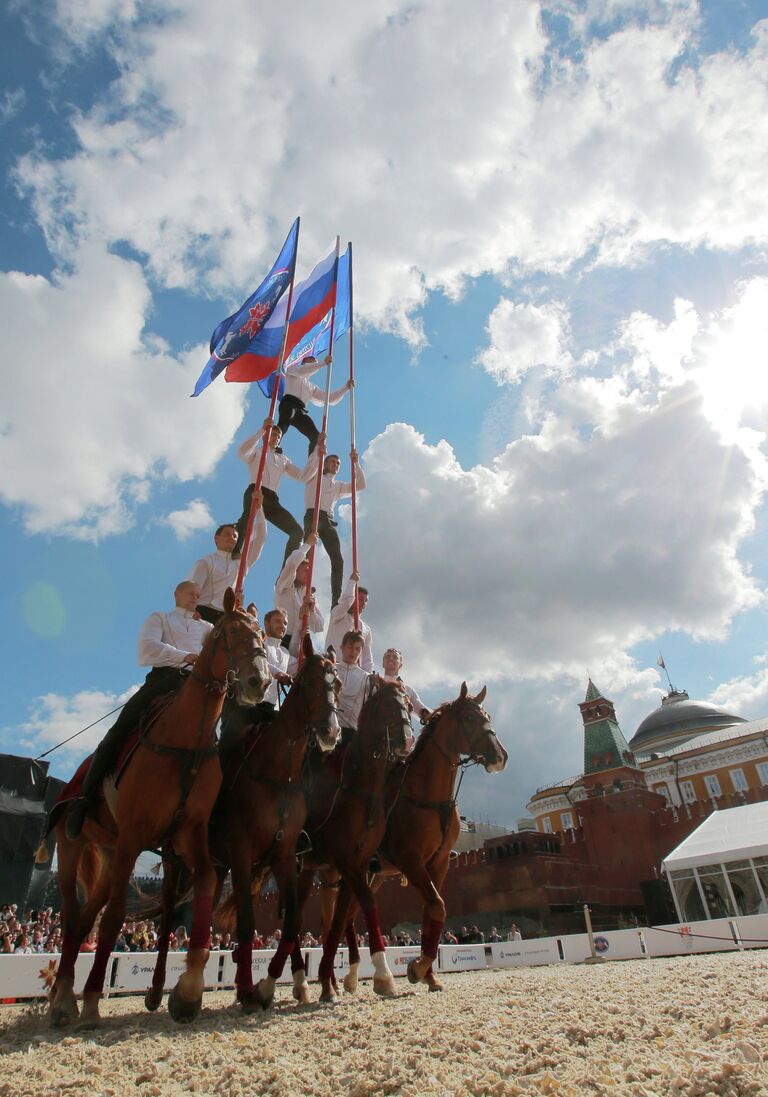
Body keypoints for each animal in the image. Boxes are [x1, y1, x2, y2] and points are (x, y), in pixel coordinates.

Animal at [48, 592, 269, 1026]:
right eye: (232, 631)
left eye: (261, 634)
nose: (259, 681)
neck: (186, 742)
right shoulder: (135, 834)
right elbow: (116, 917)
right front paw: (94, 1000)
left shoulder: (190, 833)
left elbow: (203, 886)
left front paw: (189, 991)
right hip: (72, 848)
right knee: (72, 913)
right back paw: (65, 999)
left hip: (110, 854)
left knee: (84, 920)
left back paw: (64, 995)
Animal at [148, 636, 342, 1009]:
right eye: (309, 682)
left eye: (337, 684)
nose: (330, 733)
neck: (278, 773)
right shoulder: (241, 851)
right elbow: (248, 922)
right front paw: (254, 989)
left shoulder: (283, 855)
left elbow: (291, 921)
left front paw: (264, 986)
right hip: (179, 863)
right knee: (167, 917)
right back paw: (157, 989)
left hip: (217, 865)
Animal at [285, 675, 416, 1004]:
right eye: (387, 704)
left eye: (409, 705)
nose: (408, 742)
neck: (361, 788)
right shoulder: (348, 861)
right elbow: (366, 904)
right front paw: (383, 975)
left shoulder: (355, 863)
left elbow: (340, 919)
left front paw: (328, 980)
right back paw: (299, 981)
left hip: (310, 870)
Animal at [329, 675, 504, 996]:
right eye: (469, 718)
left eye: (488, 716)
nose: (500, 757)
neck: (430, 797)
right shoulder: (412, 862)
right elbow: (437, 906)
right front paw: (417, 968)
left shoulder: (439, 864)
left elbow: (431, 912)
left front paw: (429, 975)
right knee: (343, 915)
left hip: (374, 875)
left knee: (349, 913)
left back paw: (351, 977)